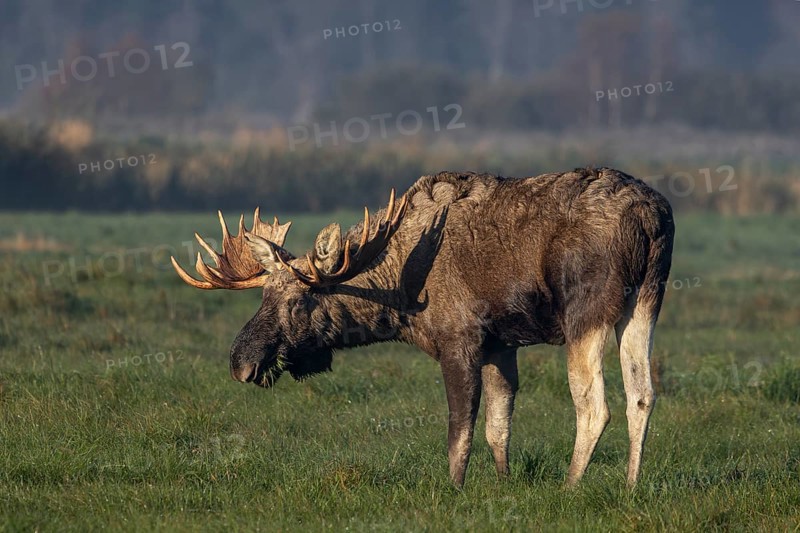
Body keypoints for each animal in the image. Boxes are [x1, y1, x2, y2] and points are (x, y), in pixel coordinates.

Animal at [171, 168, 674, 488]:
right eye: (263, 297)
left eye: (299, 300)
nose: (241, 362)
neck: (399, 296)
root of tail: (652, 218)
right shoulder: (500, 344)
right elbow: (498, 426)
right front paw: (504, 484)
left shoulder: (460, 339)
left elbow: (460, 432)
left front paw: (455, 489)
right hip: (646, 301)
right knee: (642, 395)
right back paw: (630, 486)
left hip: (584, 313)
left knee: (594, 406)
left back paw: (571, 486)